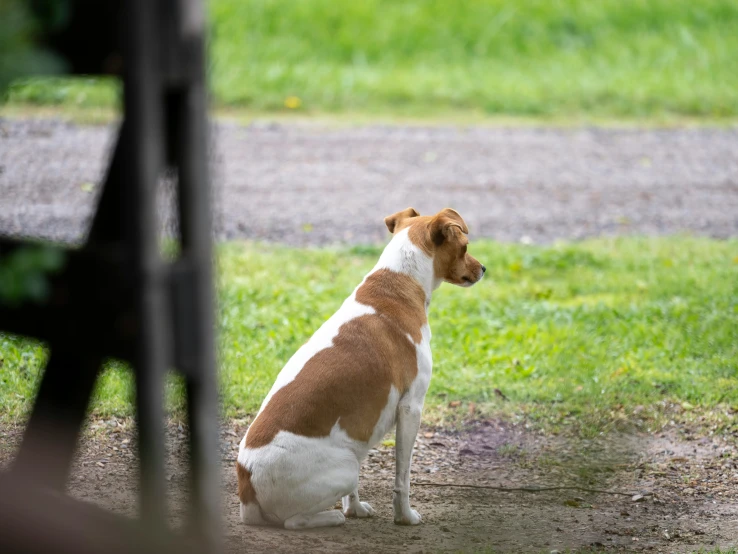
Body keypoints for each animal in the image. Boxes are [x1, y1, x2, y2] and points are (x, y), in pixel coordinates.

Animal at [236, 206, 486, 528]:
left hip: (350, 460)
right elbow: (402, 478)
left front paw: (355, 508)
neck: (397, 283)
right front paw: (404, 517)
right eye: (465, 246)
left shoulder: (362, 429)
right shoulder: (411, 408)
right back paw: (332, 518)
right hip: (345, 468)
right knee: (295, 521)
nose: (484, 268)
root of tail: (247, 487)